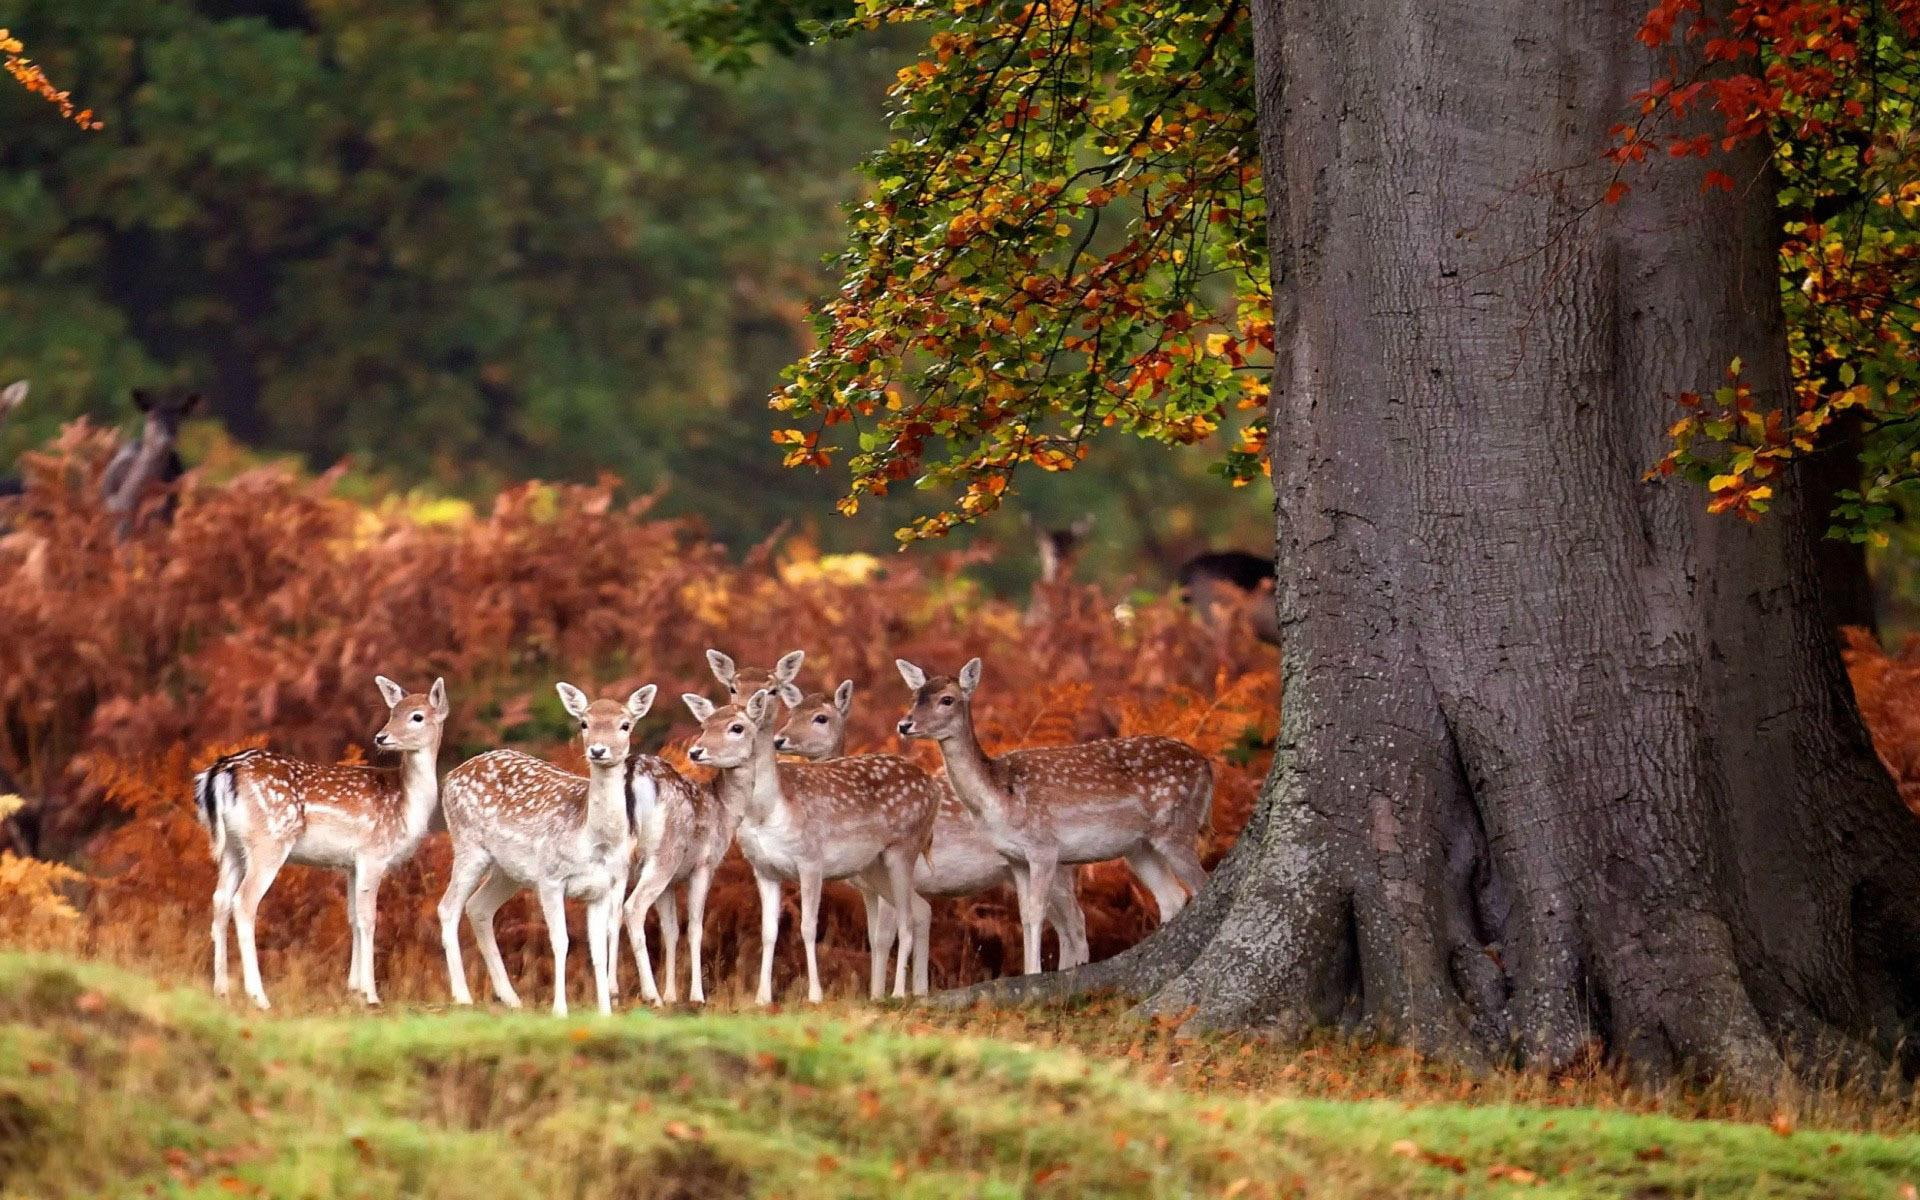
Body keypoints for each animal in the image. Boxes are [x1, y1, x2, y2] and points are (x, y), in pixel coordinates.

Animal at [193, 675, 448, 1010]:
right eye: (393, 712)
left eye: (416, 716)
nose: (381, 737)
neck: (406, 805)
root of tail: (220, 772)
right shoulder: (373, 853)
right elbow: (369, 918)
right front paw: (371, 995)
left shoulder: (351, 864)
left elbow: (353, 918)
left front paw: (353, 989)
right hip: (270, 839)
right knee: (244, 902)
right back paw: (259, 996)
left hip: (234, 847)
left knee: (220, 899)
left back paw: (220, 989)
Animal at [436, 682, 653, 1017]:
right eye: (584, 723)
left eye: (625, 724)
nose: (598, 750)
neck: (593, 841)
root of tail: (449, 777)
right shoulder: (551, 878)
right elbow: (561, 941)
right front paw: (560, 1009)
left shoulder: (603, 888)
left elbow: (598, 949)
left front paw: (605, 1011)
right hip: (468, 845)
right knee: (448, 907)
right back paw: (463, 996)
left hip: (509, 871)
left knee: (478, 907)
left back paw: (511, 998)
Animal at [683, 687, 941, 1004]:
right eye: (703, 726)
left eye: (737, 727)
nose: (696, 751)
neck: (767, 812)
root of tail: (933, 788)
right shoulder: (763, 869)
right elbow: (768, 931)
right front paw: (762, 998)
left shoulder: (811, 860)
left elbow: (808, 927)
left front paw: (815, 995)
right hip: (873, 867)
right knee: (921, 909)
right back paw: (914, 992)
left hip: (903, 848)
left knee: (905, 918)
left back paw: (898, 993)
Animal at [774, 679, 1088, 990]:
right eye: (791, 714)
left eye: (821, 718)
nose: (779, 739)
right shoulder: (868, 887)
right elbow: (877, 937)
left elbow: (884, 937)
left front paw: (885, 994)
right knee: (1063, 924)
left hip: (1055, 865)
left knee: (1075, 922)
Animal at [894, 657, 1213, 975]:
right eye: (914, 697)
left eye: (947, 699)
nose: (904, 724)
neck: (999, 799)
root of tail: (1207, 767)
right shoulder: (1015, 857)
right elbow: (1025, 915)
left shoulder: (1043, 846)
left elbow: (1037, 912)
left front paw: (1033, 973)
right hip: (1139, 847)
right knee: (1171, 896)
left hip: (1176, 827)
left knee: (1199, 883)